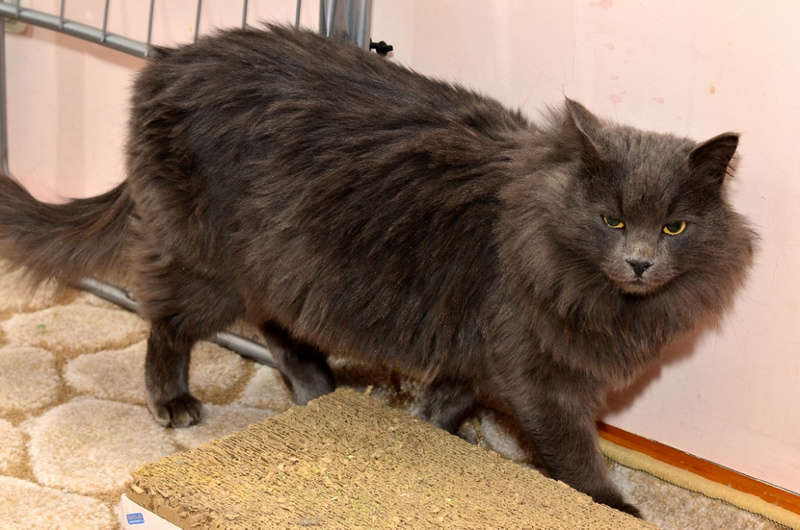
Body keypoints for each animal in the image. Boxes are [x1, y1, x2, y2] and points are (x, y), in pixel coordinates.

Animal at [0, 24, 755, 516]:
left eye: (675, 227)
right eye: (613, 220)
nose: (640, 262)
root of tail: (166, 63)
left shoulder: (480, 350)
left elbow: (448, 400)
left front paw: (423, 430)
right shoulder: (537, 369)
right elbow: (573, 451)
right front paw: (614, 507)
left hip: (282, 263)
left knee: (273, 324)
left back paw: (317, 389)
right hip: (210, 259)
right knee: (166, 323)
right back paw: (174, 401)